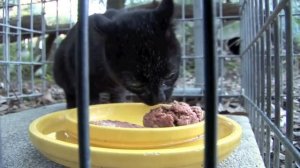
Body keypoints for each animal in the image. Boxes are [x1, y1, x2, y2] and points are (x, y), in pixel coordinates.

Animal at [52, 0, 180, 109]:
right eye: (135, 83)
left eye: (170, 75)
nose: (159, 99)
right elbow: (91, 102)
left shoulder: (119, 89)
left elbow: (118, 99)